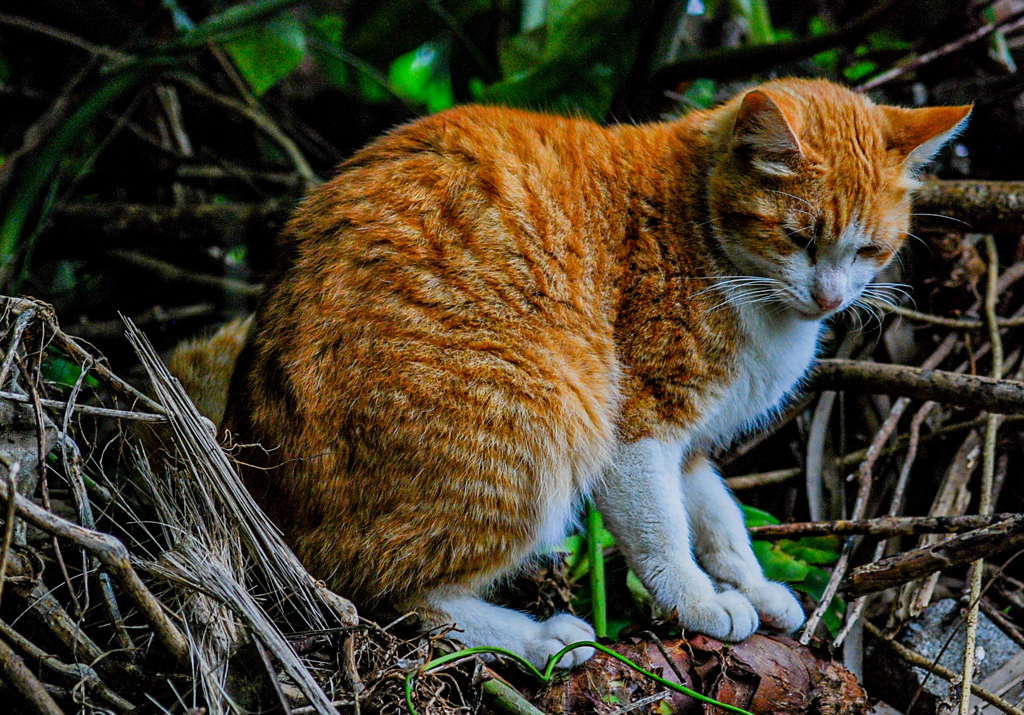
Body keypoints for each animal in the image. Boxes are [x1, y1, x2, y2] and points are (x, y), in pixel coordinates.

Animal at [174, 79, 966, 667]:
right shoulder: (639, 429)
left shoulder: (691, 443)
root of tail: (251, 471)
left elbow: (720, 517)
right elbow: (663, 533)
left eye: (868, 250)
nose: (830, 297)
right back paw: (539, 639)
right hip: (547, 416)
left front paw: (752, 582)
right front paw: (700, 601)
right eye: (799, 237)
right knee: (393, 598)